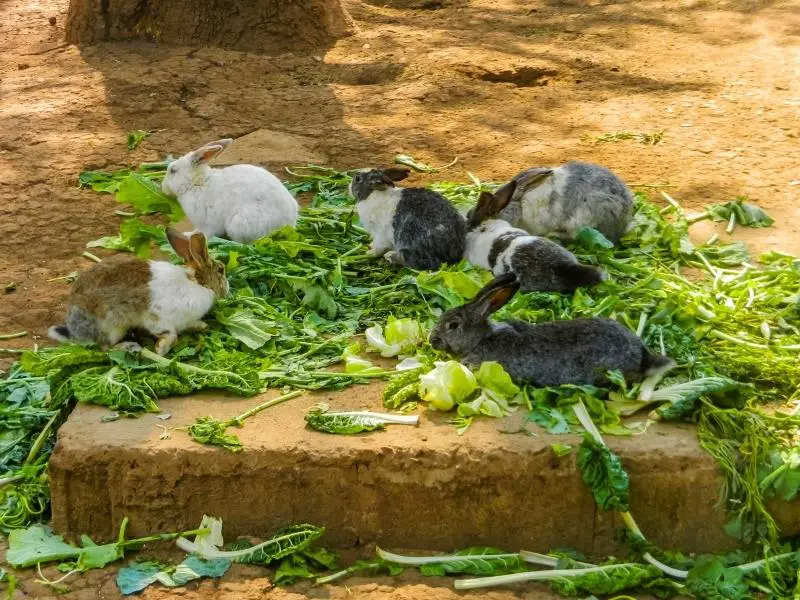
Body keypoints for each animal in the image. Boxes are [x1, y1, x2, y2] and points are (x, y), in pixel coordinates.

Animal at [49, 227, 228, 354]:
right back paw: (129, 347)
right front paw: (161, 349)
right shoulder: (156, 317)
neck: (197, 282)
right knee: (105, 348)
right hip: (112, 328)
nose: (227, 289)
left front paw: (201, 325)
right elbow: (170, 332)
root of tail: (75, 329)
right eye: (221, 270)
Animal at [161, 138, 298, 244]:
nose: (163, 188)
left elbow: (203, 233)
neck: (196, 183)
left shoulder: (207, 222)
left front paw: (188, 235)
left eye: (173, 170)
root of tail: (287, 224)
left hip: (238, 224)